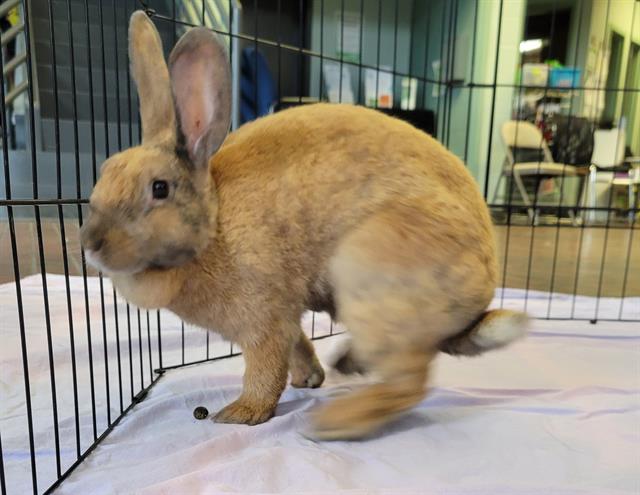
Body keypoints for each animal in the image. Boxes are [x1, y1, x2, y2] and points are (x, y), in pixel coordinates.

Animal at [80, 9, 528, 440]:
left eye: (159, 188)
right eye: (103, 172)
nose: (90, 242)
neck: (215, 225)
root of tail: (481, 291)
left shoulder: (265, 316)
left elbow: (265, 368)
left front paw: (242, 413)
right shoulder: (288, 312)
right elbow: (297, 343)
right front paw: (309, 379)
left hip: (370, 268)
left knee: (409, 382)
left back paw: (336, 422)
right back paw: (348, 364)